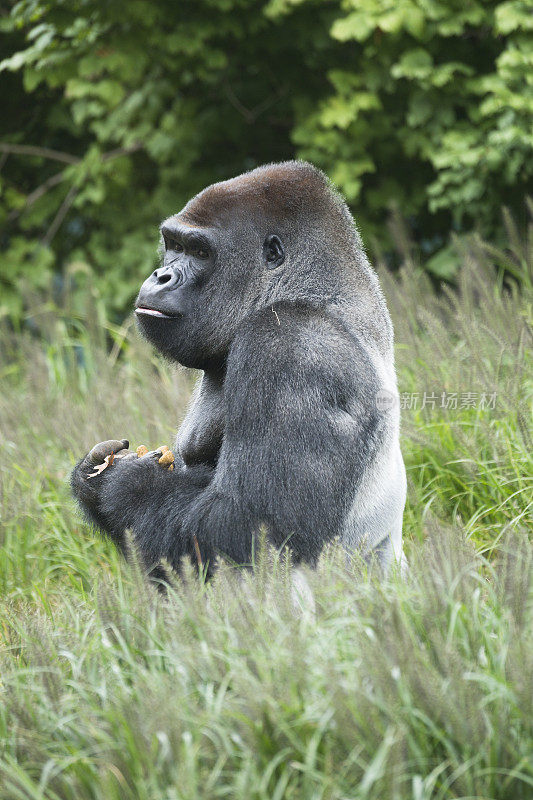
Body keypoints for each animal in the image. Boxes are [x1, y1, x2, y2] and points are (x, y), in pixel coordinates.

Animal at [69, 161, 404, 576]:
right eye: (173, 245)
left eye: (199, 251)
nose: (160, 276)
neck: (307, 288)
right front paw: (90, 479)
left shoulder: (288, 345)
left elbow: (245, 526)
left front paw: (127, 481)